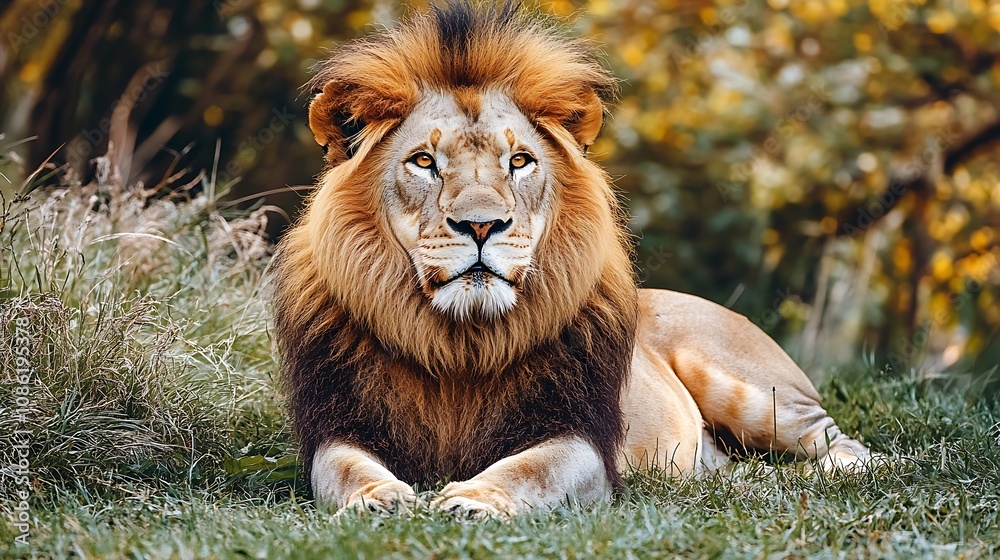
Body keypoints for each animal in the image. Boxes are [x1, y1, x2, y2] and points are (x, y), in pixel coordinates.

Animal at [272, 2, 874, 518]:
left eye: (519, 161)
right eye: (423, 162)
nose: (481, 225)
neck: (460, 343)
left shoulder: (581, 436)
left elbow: (532, 469)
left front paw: (473, 499)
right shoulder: (342, 424)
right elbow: (343, 469)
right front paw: (377, 499)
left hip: (759, 396)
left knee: (851, 446)